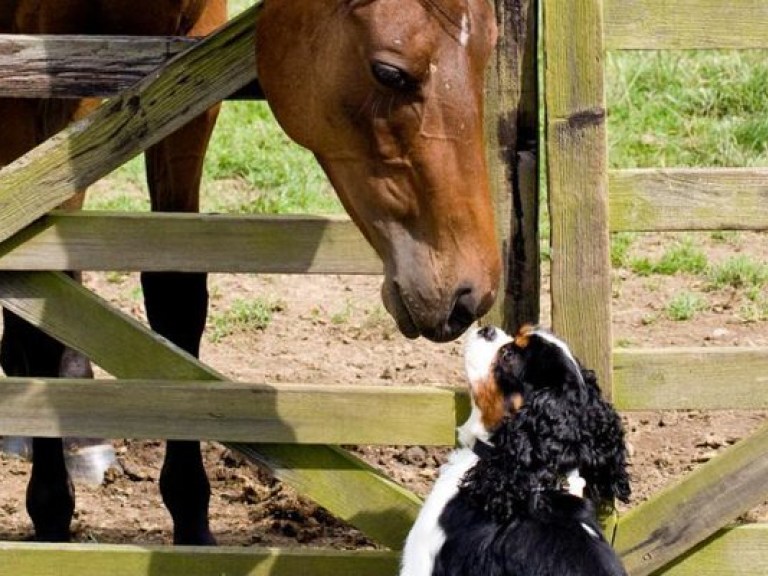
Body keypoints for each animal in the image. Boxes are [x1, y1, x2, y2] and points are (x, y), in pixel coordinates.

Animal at [0, 0, 498, 548]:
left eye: (488, 52)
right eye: (389, 72)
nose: (469, 293)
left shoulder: (187, 75)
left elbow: (176, 296)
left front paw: (191, 520)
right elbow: (33, 284)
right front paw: (50, 514)